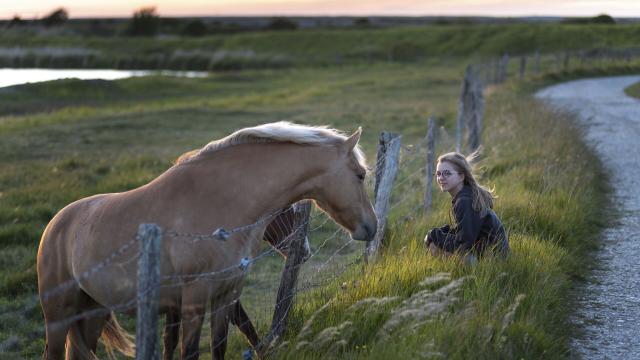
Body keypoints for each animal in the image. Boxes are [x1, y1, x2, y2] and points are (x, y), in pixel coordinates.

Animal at [37, 122, 376, 358]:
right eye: (360, 175)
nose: (372, 226)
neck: (220, 201)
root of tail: (55, 225)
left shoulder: (226, 295)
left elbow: (219, 347)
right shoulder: (193, 300)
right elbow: (188, 352)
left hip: (92, 312)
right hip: (58, 316)